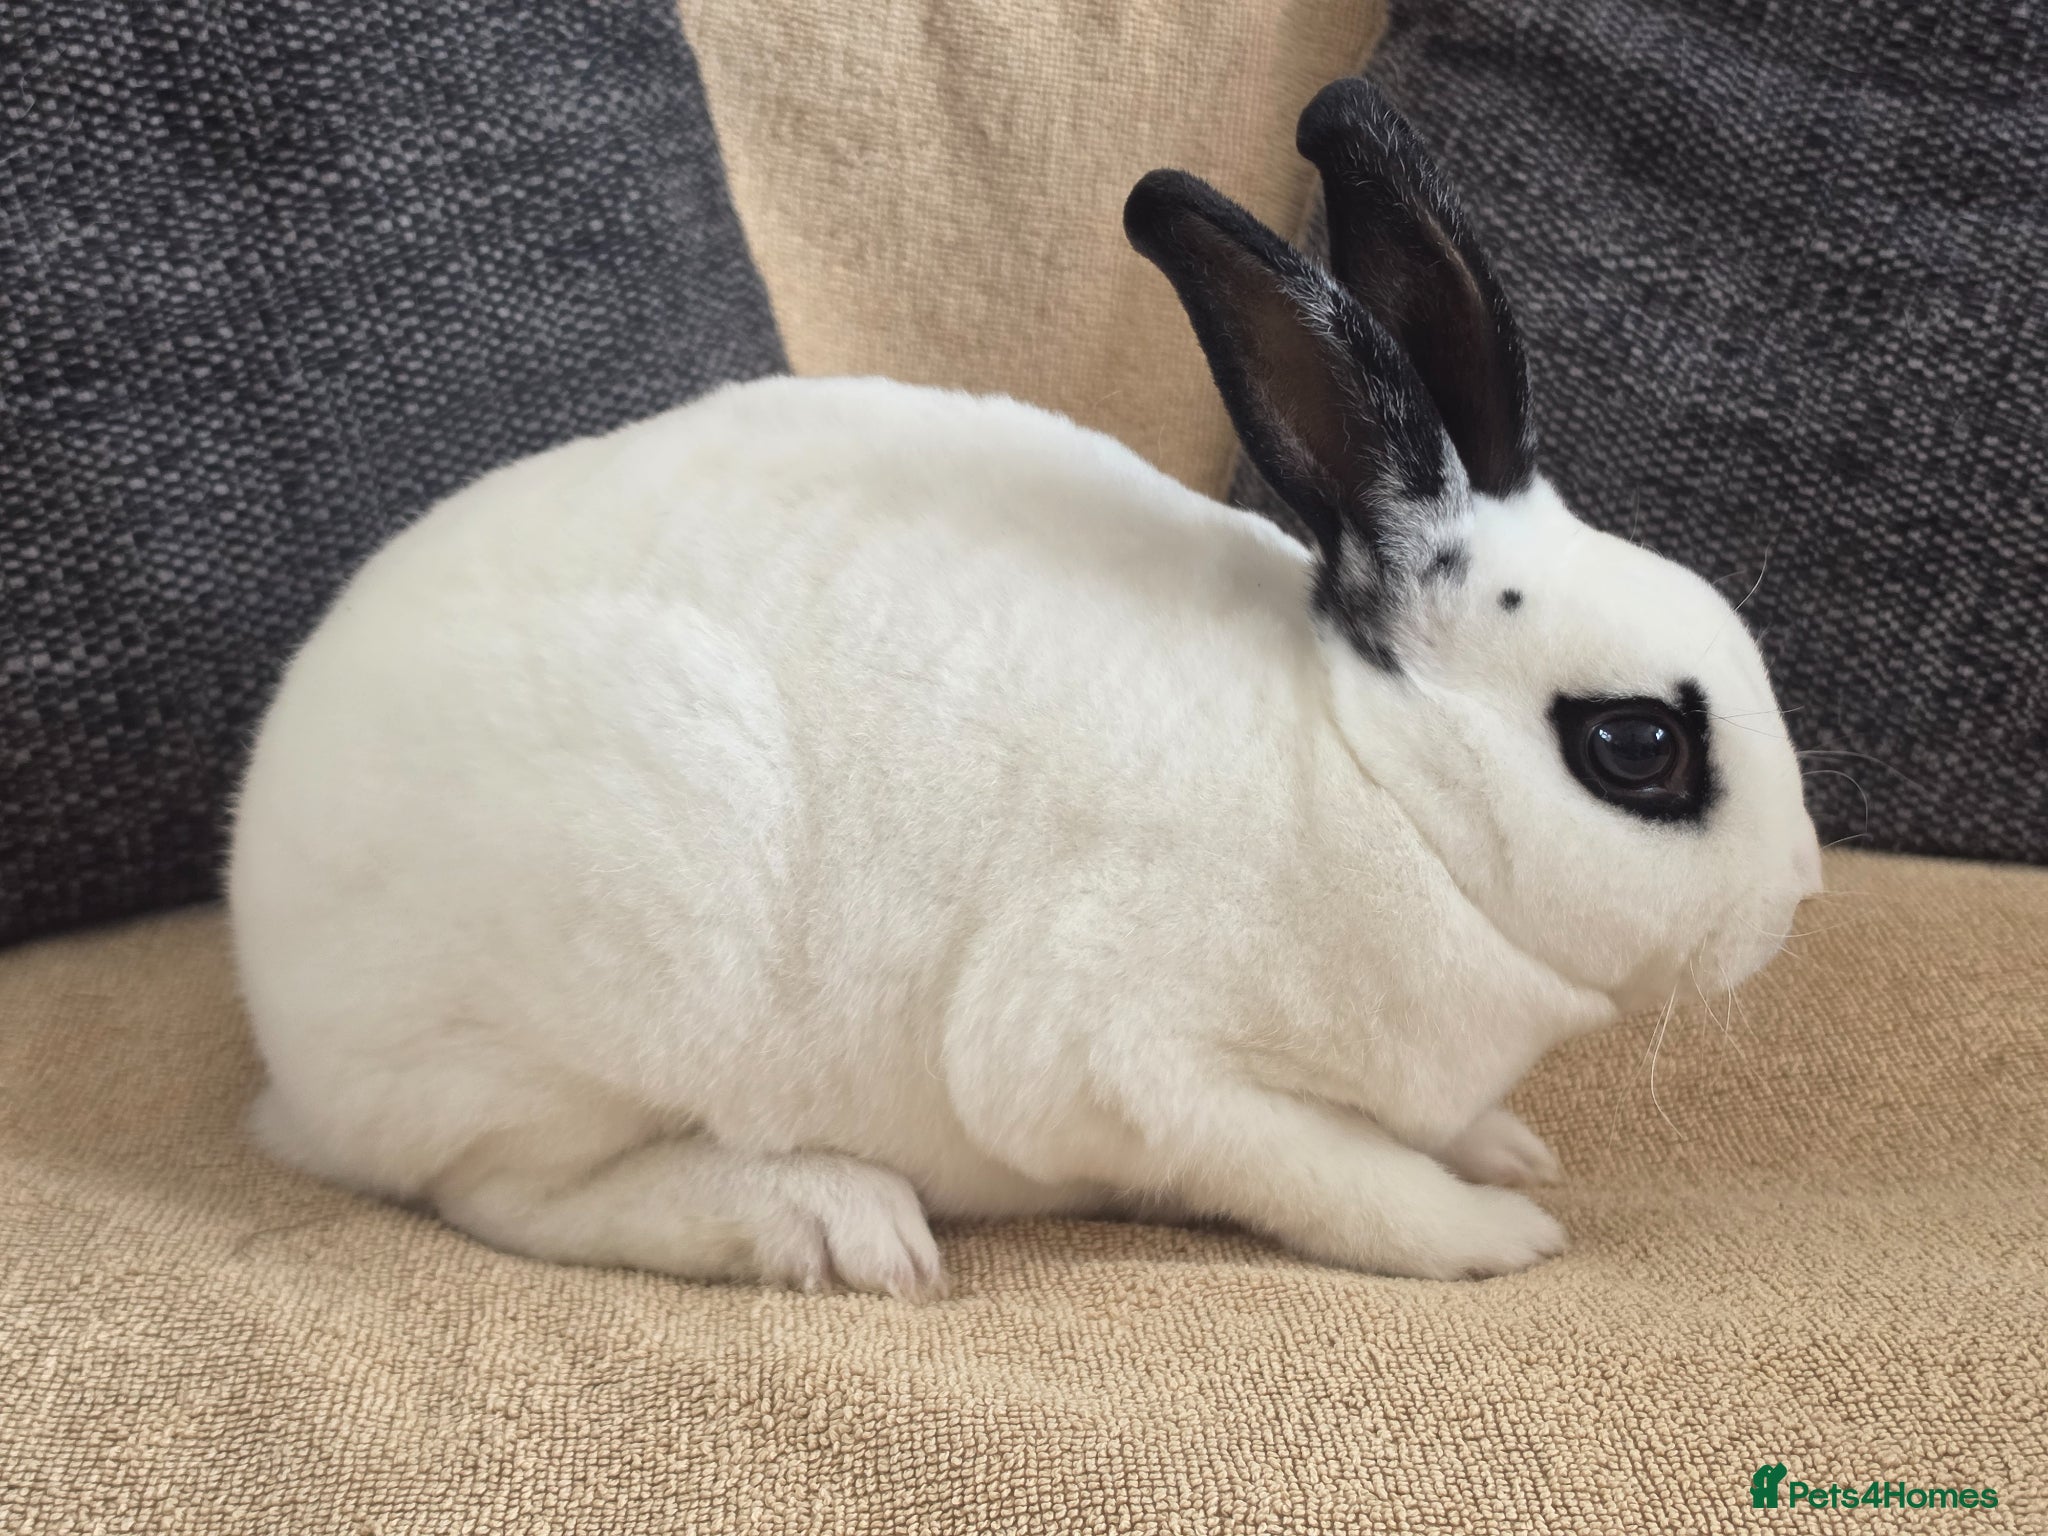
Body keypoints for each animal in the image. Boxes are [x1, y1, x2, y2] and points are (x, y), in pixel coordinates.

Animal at [229, 78, 1820, 1301]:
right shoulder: (1128, 1055)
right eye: (1634, 745)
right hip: (617, 958)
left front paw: (1501, 1146)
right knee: (507, 1192)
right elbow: (1330, 1177)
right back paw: (829, 1224)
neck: (1376, 781)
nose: (1797, 895)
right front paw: (1494, 1227)